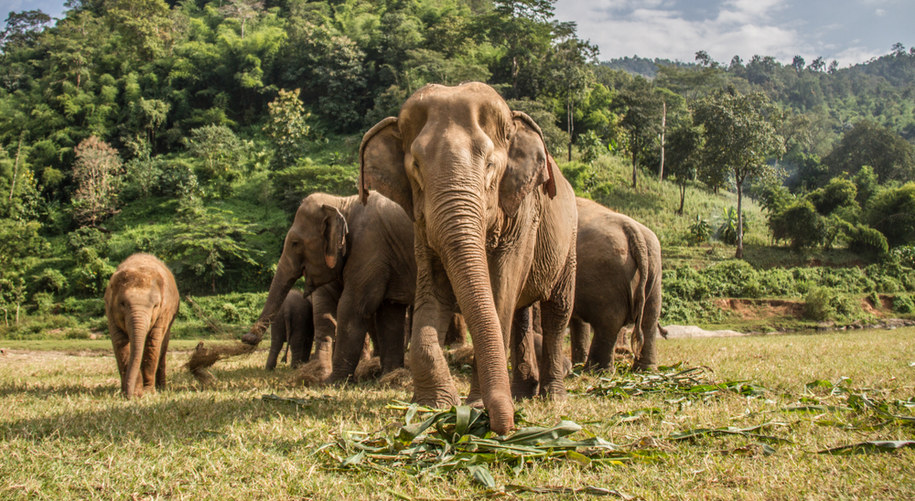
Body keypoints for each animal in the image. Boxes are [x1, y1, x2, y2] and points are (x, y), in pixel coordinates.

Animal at [104, 254, 180, 398]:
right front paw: (134, 392)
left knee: (162, 346)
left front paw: (148, 392)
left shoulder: (164, 312)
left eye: (155, 305)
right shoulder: (110, 311)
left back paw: (162, 388)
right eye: (122, 304)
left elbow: (153, 343)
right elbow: (120, 343)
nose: (129, 396)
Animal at [242, 191, 416, 378]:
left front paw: (332, 380)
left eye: (295, 243)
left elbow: (352, 307)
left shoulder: (369, 249)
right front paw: (389, 376)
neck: (342, 202)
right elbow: (389, 312)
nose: (248, 338)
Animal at [362, 82, 576, 434]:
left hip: (569, 241)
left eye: (489, 164)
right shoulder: (422, 224)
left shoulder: (521, 215)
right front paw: (433, 406)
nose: (505, 426)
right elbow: (433, 290)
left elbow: (500, 291)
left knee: (557, 310)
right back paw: (522, 393)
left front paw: (474, 405)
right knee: (521, 313)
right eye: (416, 166)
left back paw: (553, 397)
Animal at [568, 197, 660, 374]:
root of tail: (634, 231)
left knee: (609, 322)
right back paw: (645, 370)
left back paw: (596, 371)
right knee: (650, 318)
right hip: (654, 272)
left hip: (605, 274)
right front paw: (576, 364)